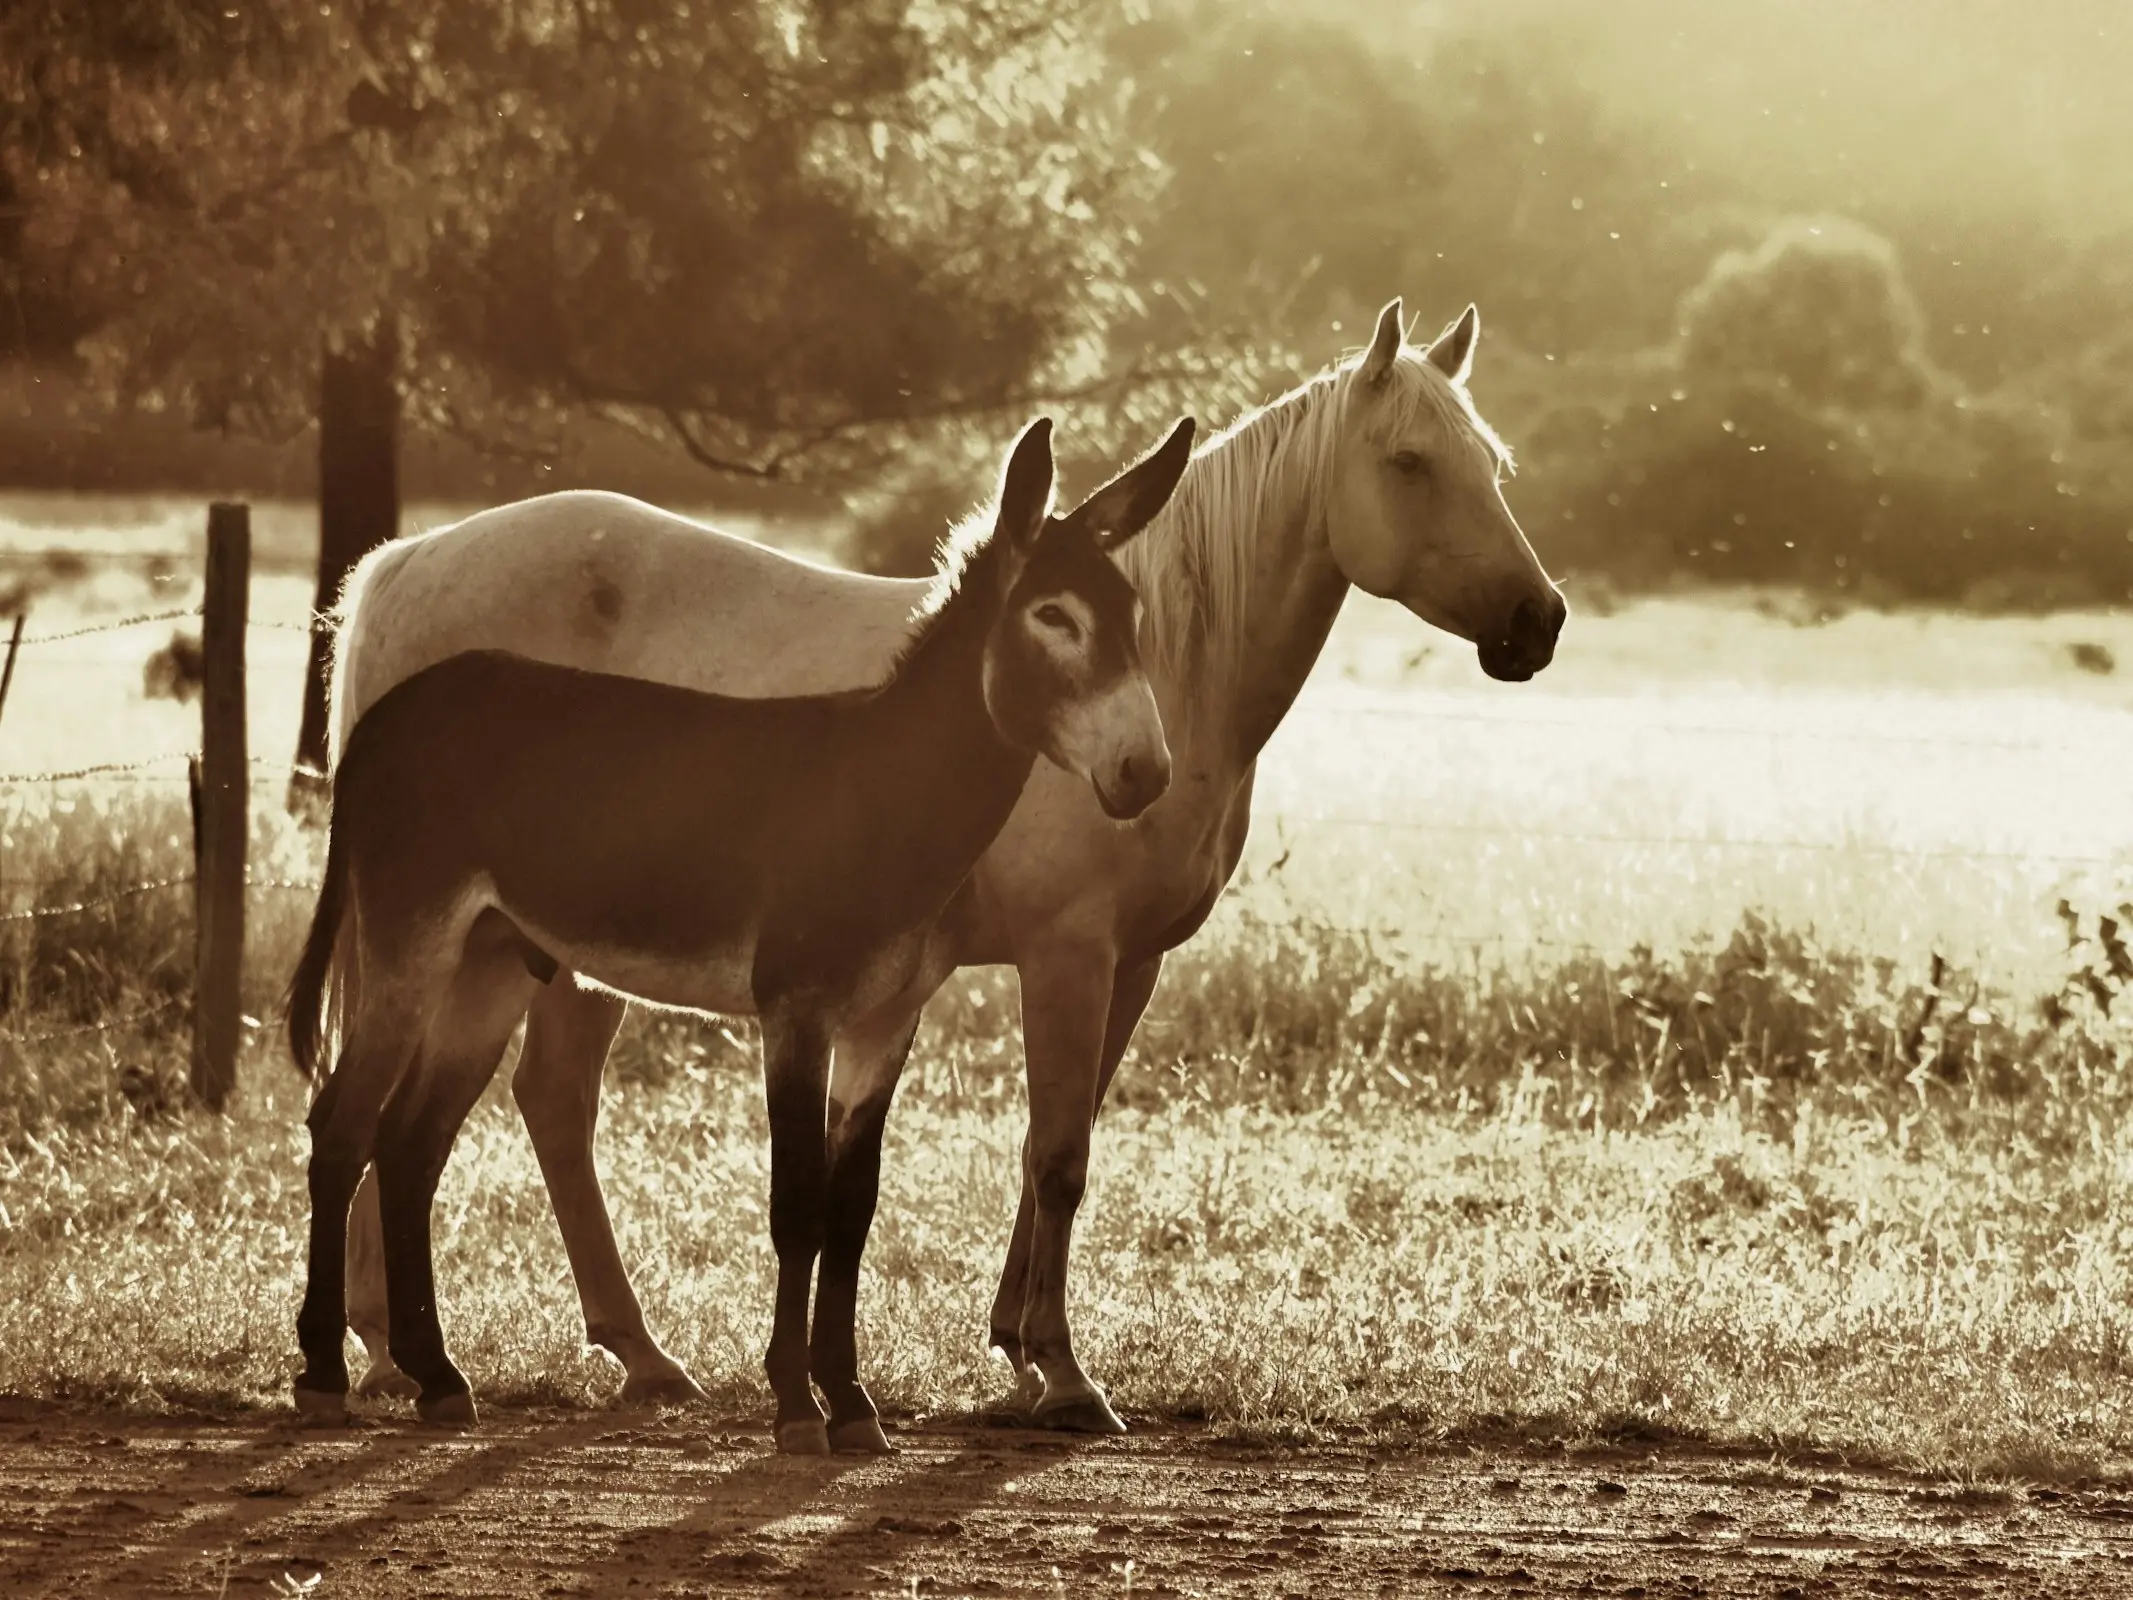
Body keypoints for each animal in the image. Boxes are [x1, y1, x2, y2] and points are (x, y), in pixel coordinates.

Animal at [328, 298, 1569, 1425]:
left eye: (1498, 464)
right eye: (1410, 461)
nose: (1537, 619)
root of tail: (405, 562)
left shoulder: (1129, 965)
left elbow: (1052, 1147)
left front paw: (1012, 1341)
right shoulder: (1064, 955)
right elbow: (1058, 1152)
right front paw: (1061, 1374)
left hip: (546, 947)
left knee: (526, 1101)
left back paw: (566, 1351)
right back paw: (402, 1350)